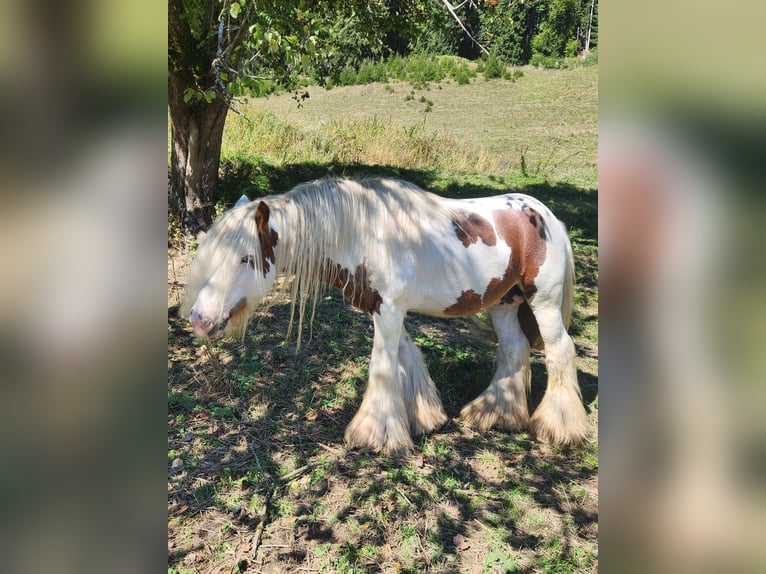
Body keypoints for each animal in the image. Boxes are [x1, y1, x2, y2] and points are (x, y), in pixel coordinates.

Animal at [181, 178, 589, 455]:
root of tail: (546, 216)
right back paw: (494, 415)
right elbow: (406, 360)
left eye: (246, 258)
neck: (364, 235)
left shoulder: (390, 309)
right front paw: (422, 420)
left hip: (543, 302)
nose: (199, 320)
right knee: (514, 350)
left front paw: (374, 435)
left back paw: (560, 428)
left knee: (560, 351)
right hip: (504, 303)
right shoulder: (386, 309)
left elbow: (381, 366)